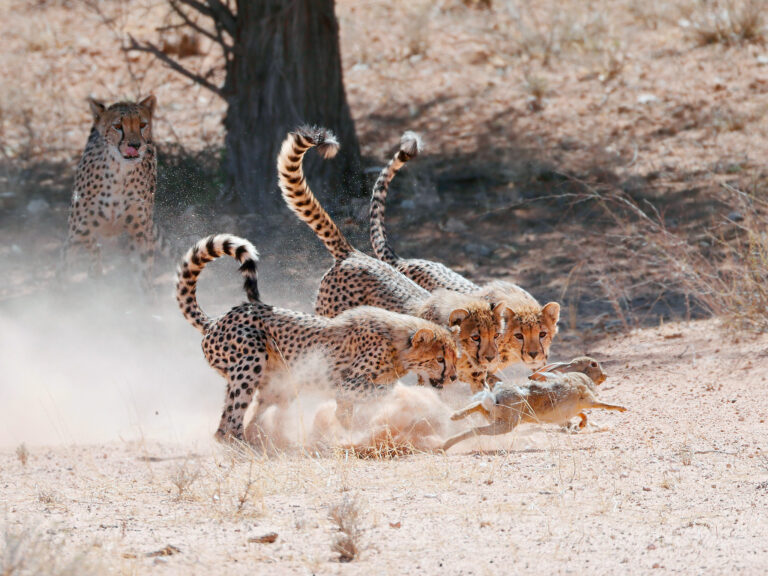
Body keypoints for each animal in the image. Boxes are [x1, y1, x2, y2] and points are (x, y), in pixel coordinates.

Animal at [65, 95, 158, 288]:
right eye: (118, 126)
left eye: (142, 124)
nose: (135, 145)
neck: (119, 173)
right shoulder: (76, 232)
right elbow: (64, 271)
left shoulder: (142, 234)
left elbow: (145, 273)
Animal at [176, 233, 459, 442]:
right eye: (440, 359)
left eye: (455, 357)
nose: (454, 377)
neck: (397, 345)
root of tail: (216, 320)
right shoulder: (347, 383)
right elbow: (373, 393)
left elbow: (348, 412)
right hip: (250, 361)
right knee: (229, 424)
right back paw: (245, 446)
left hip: (279, 384)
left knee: (234, 422)